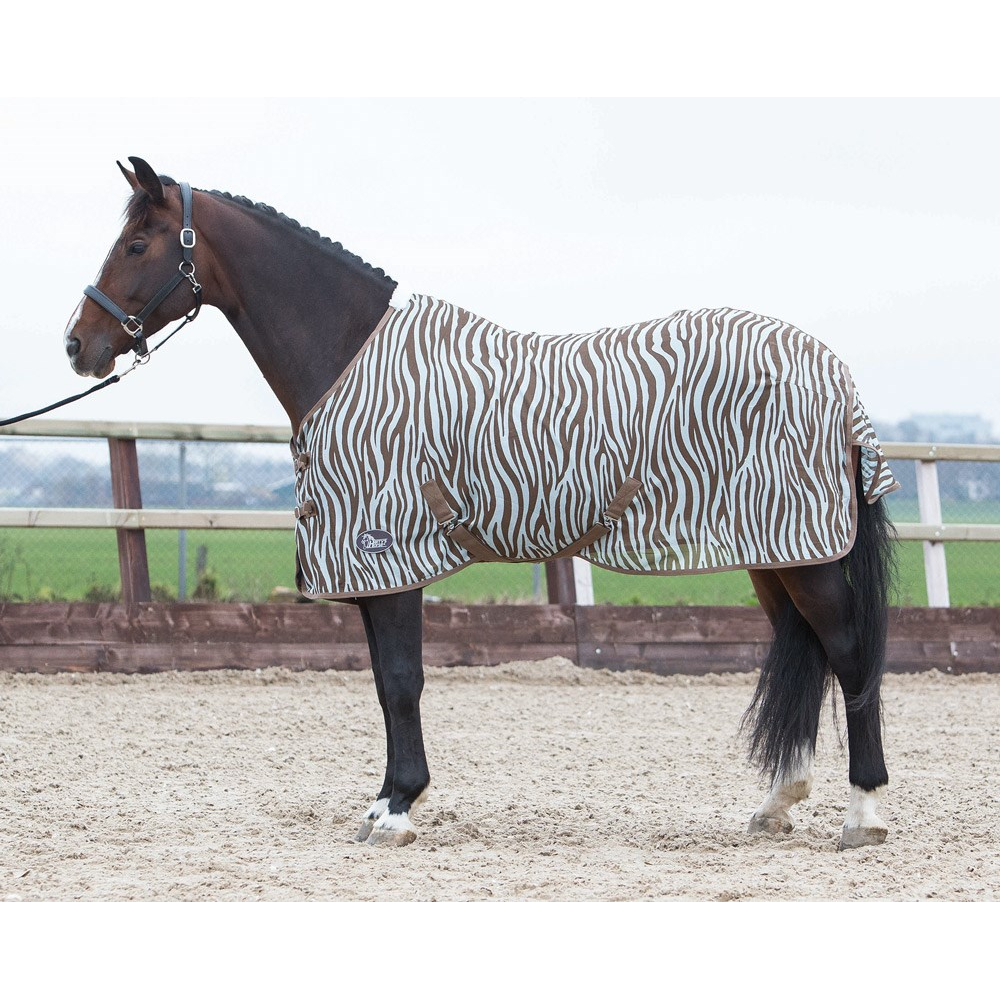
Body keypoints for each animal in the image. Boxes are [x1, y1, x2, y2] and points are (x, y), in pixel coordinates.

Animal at [64, 157, 897, 850]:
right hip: (775, 551)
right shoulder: (376, 568)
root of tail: (835, 372)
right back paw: (777, 802)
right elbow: (384, 682)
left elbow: (402, 681)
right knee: (807, 650)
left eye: (138, 244)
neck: (352, 361)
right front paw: (384, 802)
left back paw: (864, 815)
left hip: (805, 553)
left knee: (850, 655)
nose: (78, 344)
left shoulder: (388, 556)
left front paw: (398, 809)